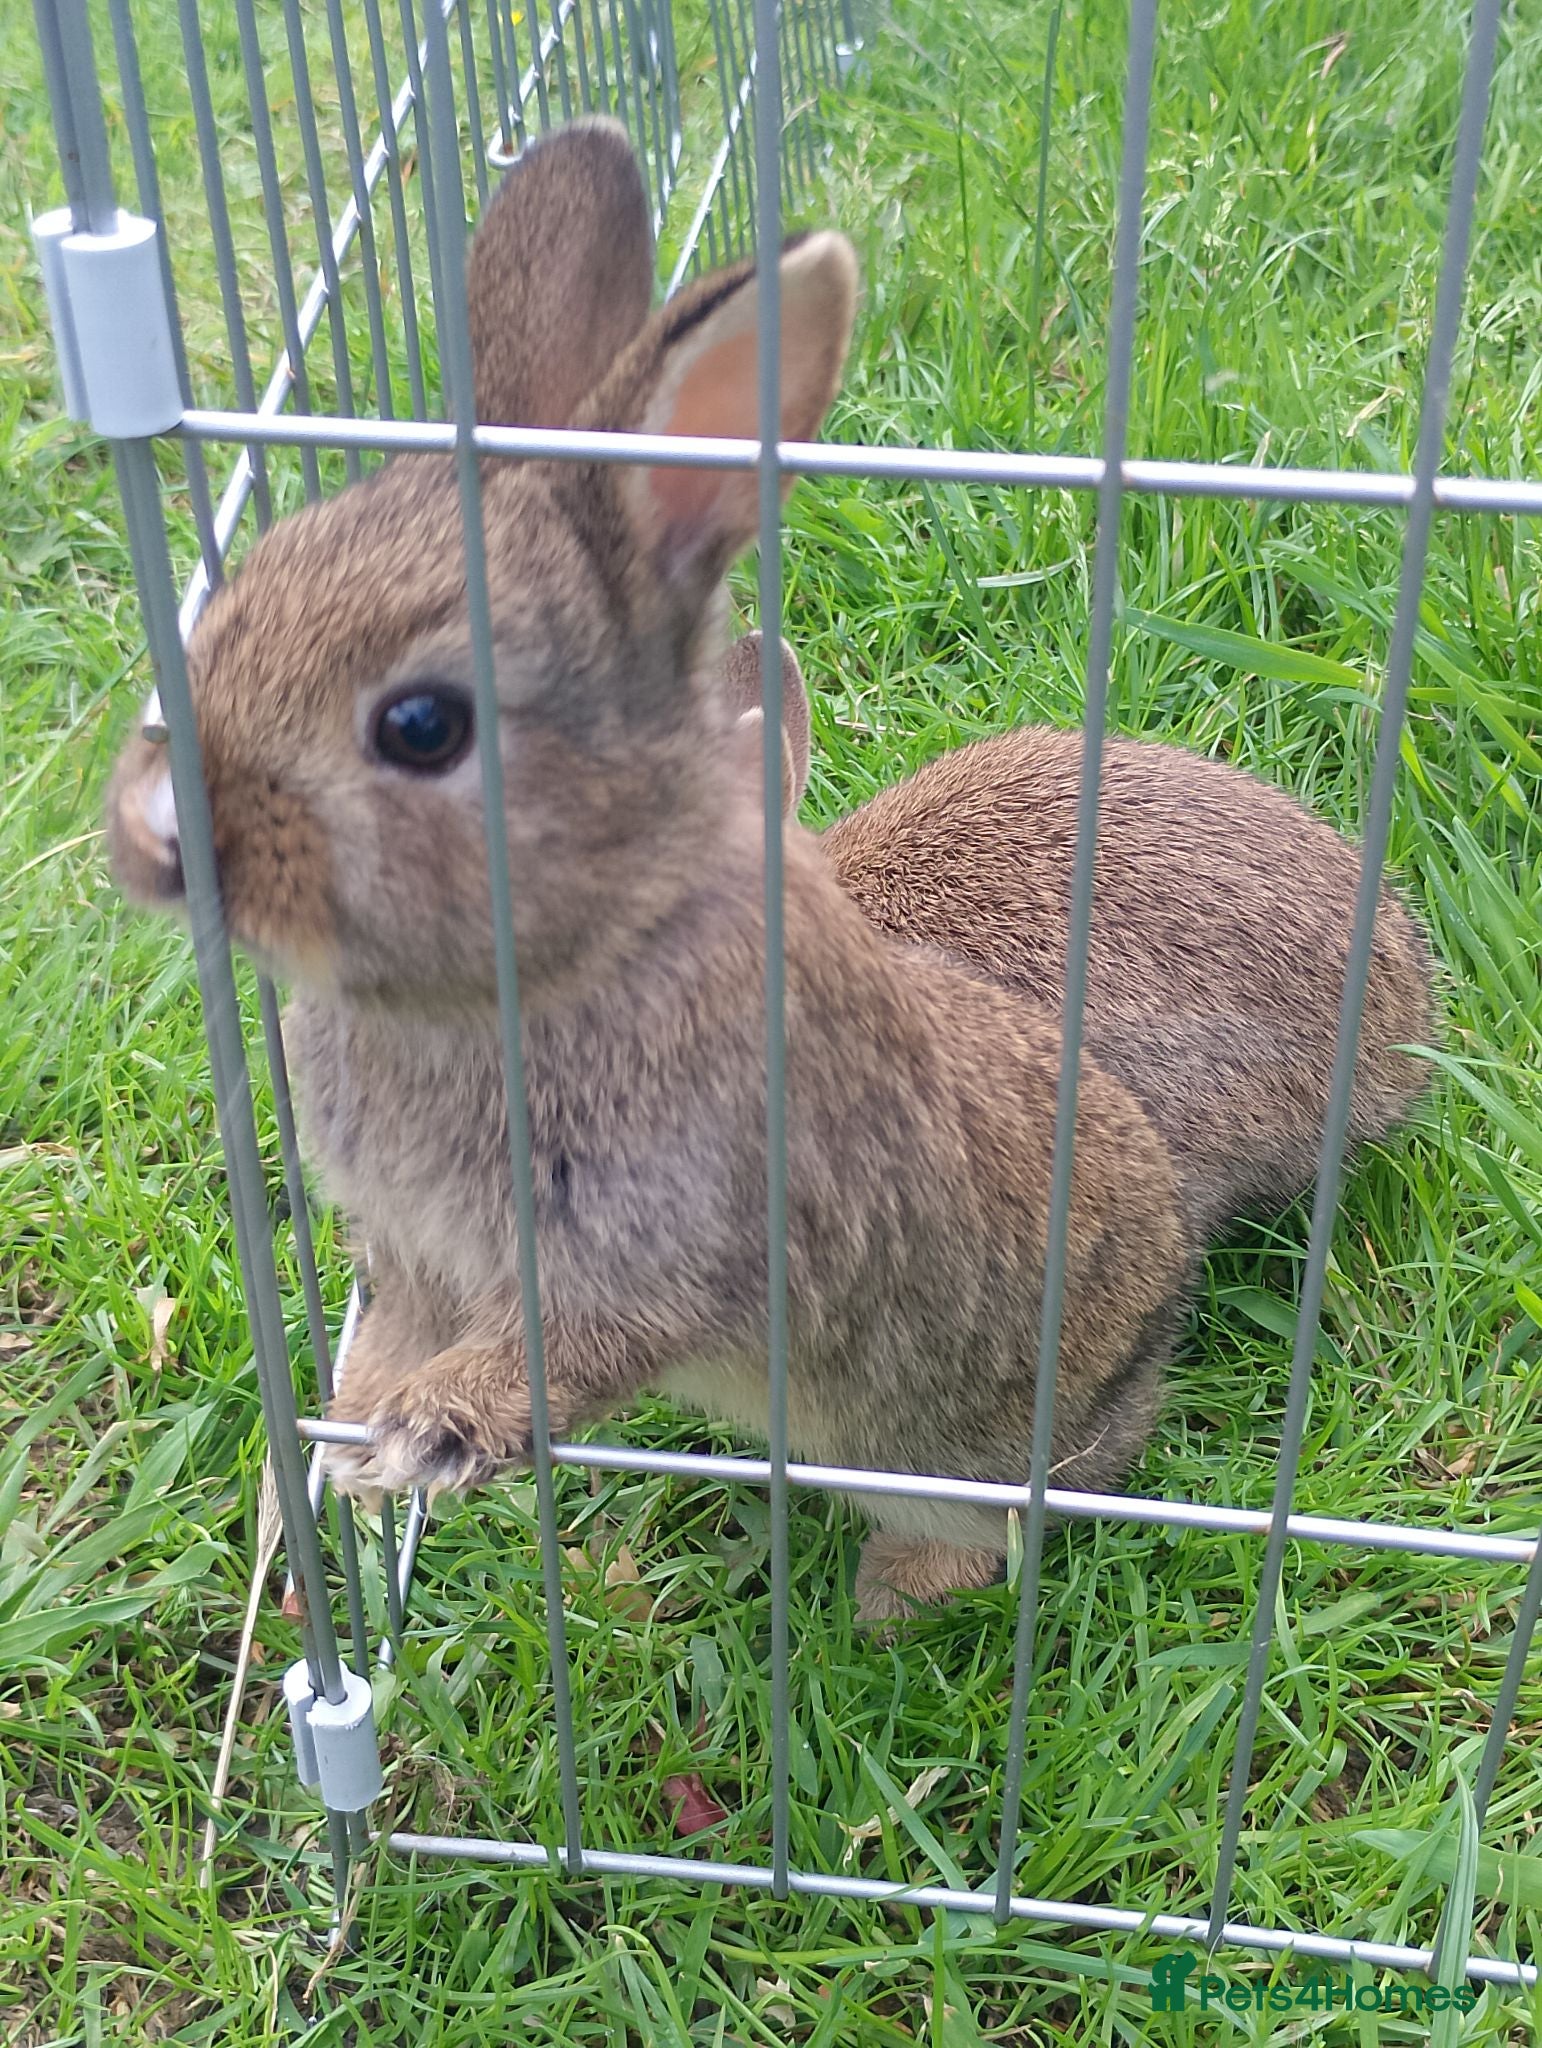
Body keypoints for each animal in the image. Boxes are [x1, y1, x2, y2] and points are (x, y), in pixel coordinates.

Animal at [106, 118, 1194, 1623]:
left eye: (421, 726)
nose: (151, 832)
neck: (568, 944)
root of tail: (1163, 1312)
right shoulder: (414, 1250)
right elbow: (389, 1327)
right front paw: (350, 1449)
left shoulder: (672, 1241)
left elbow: (570, 1351)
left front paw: (428, 1435)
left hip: (953, 1449)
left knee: (986, 1533)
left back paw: (884, 1605)